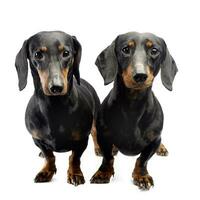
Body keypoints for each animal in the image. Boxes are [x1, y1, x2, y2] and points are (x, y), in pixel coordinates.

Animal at [15, 31, 101, 186]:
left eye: (66, 53)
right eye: (37, 54)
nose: (56, 87)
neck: (55, 109)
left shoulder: (81, 140)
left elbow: (74, 158)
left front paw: (75, 174)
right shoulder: (37, 138)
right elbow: (49, 156)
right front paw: (46, 171)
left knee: (95, 132)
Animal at [90, 32, 177, 190]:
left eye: (154, 50)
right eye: (125, 49)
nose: (140, 75)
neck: (133, 107)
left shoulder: (154, 140)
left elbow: (142, 160)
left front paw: (141, 176)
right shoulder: (104, 136)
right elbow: (107, 157)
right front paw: (103, 173)